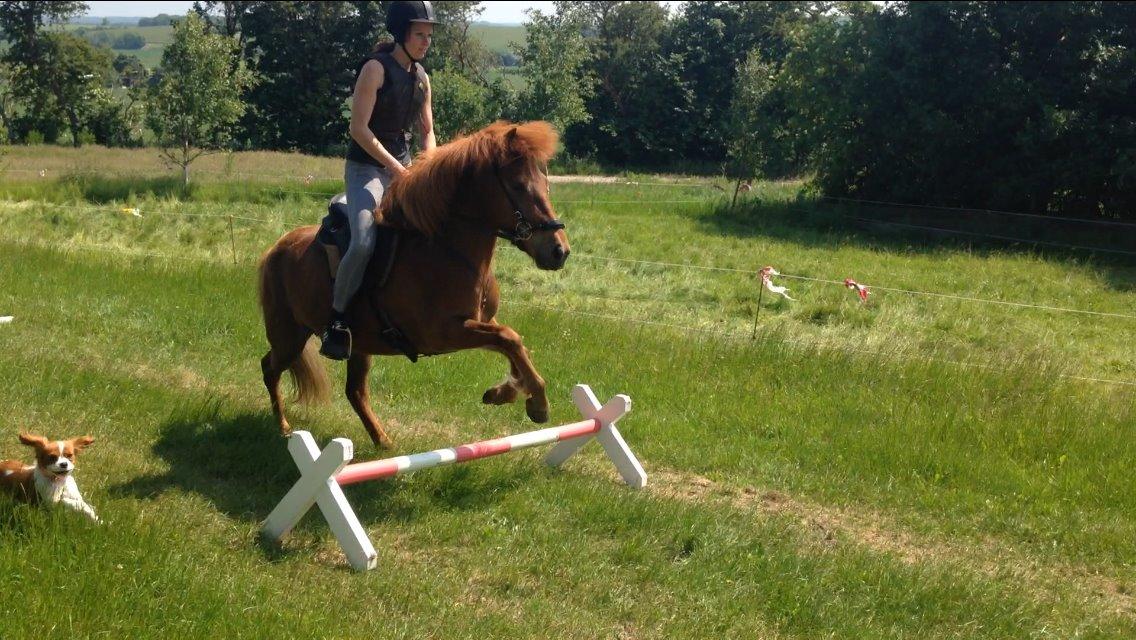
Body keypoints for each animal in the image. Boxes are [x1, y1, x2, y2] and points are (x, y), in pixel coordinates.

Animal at [261, 121, 572, 450]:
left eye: (546, 183)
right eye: (518, 186)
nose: (559, 251)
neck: (447, 249)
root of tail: (278, 246)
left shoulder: (481, 322)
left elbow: (514, 345)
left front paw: (507, 393)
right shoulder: (445, 333)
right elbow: (509, 339)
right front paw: (538, 404)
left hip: (358, 345)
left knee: (354, 391)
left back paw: (383, 440)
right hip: (289, 336)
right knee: (270, 368)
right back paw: (283, 427)